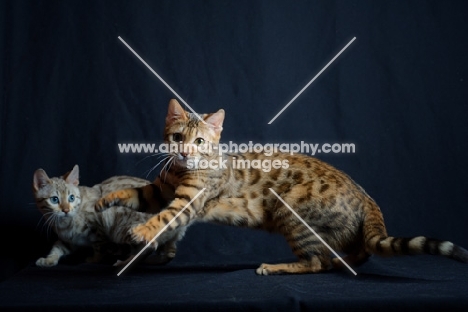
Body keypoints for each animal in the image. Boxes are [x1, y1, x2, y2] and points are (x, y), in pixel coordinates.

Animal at [95, 98, 468, 274]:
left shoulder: (186, 201)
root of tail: (366, 196)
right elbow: (133, 194)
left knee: (316, 262)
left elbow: (162, 217)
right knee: (351, 254)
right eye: (176, 138)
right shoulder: (159, 190)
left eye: (200, 141)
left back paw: (275, 267)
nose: (185, 152)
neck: (179, 173)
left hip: (292, 212)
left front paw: (142, 232)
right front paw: (106, 200)